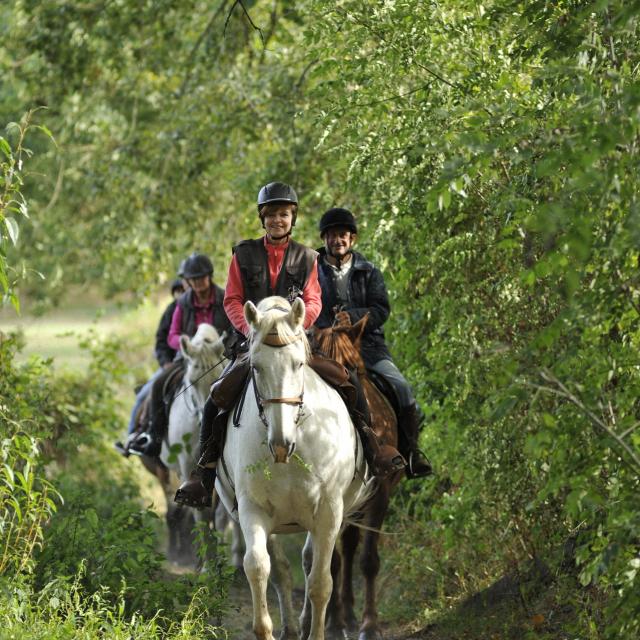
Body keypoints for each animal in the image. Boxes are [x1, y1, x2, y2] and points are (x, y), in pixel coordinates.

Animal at [215, 296, 368, 640]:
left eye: (298, 364)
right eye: (256, 367)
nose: (281, 443)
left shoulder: (328, 510)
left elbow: (321, 582)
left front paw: (318, 631)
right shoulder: (252, 508)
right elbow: (259, 567)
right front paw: (267, 629)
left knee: (313, 565)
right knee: (282, 571)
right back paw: (290, 627)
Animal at [312, 318, 402, 640]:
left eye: (354, 366)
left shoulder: (381, 493)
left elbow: (368, 561)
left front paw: (369, 625)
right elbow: (332, 563)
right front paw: (335, 623)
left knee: (351, 548)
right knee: (342, 553)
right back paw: (342, 617)